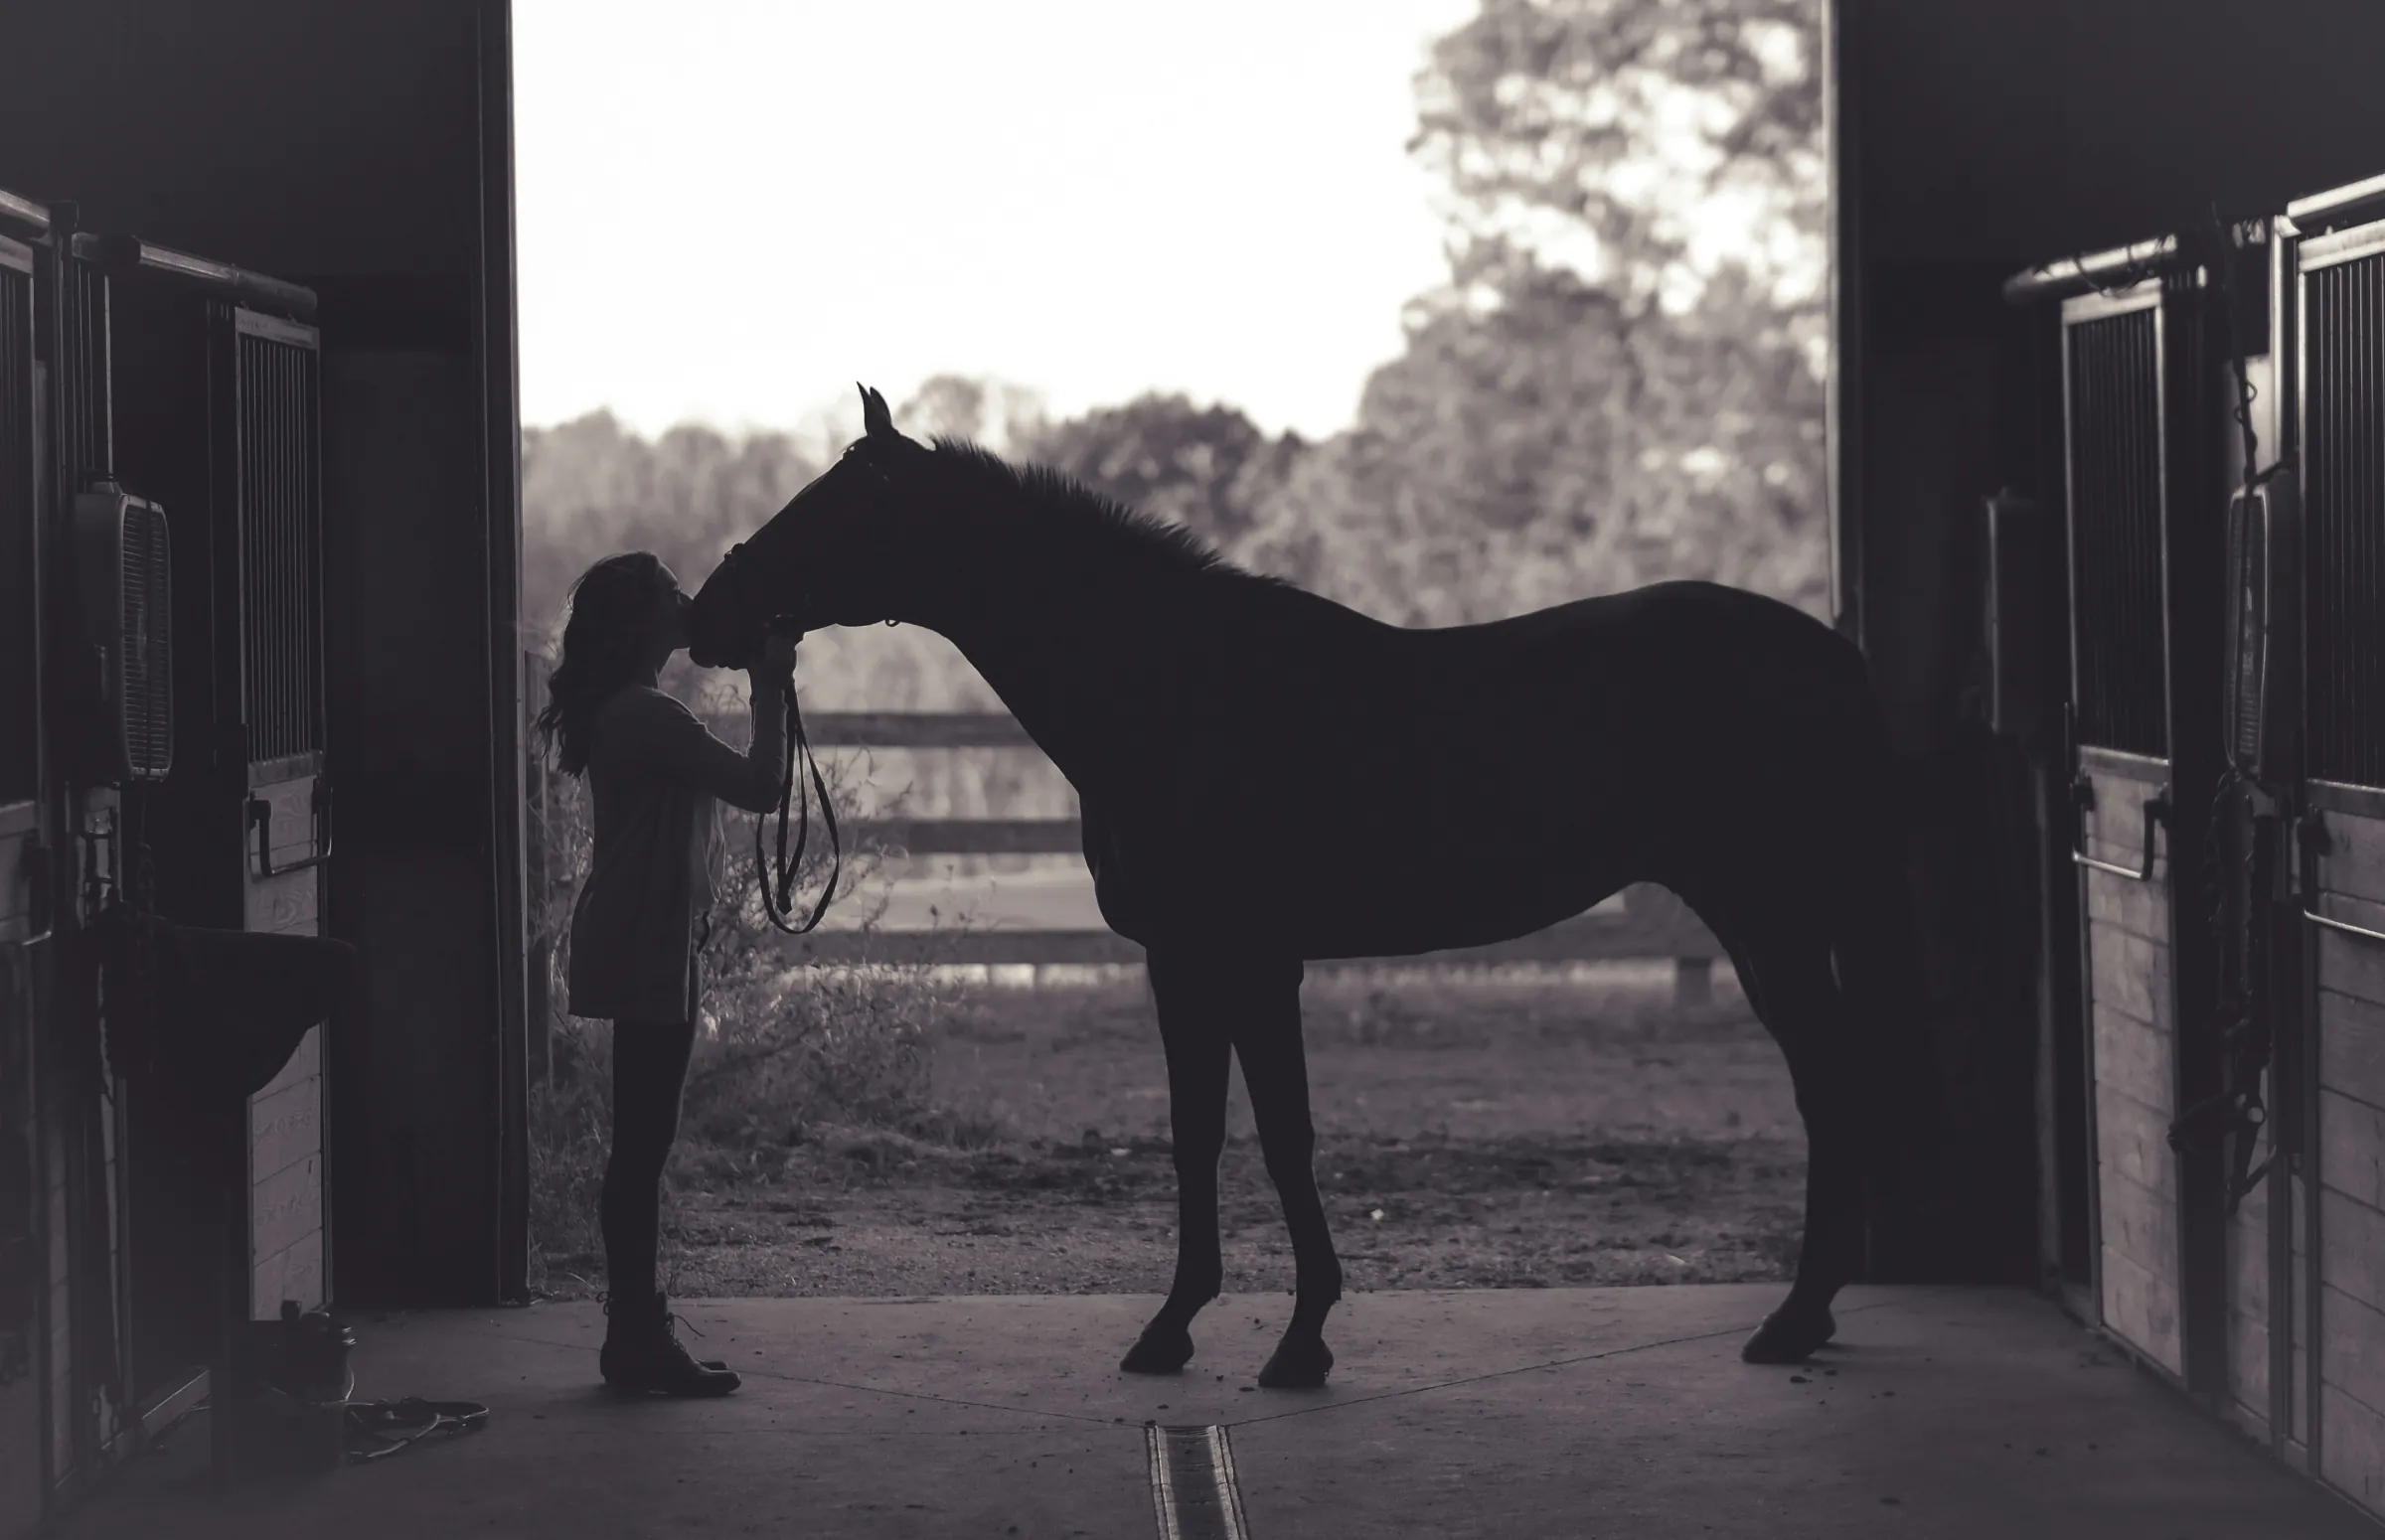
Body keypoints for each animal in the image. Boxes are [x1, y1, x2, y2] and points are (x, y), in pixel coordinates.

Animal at [687, 384, 1940, 1388]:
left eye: (834, 509)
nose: (708, 615)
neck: (1173, 689)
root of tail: (1830, 653)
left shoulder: (1252, 958)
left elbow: (1284, 1135)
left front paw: (1299, 1340)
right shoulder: (1180, 962)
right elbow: (1198, 1134)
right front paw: (1174, 1329)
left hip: (1772, 918)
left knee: (1831, 1088)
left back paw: (1793, 1319)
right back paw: (1806, 1315)